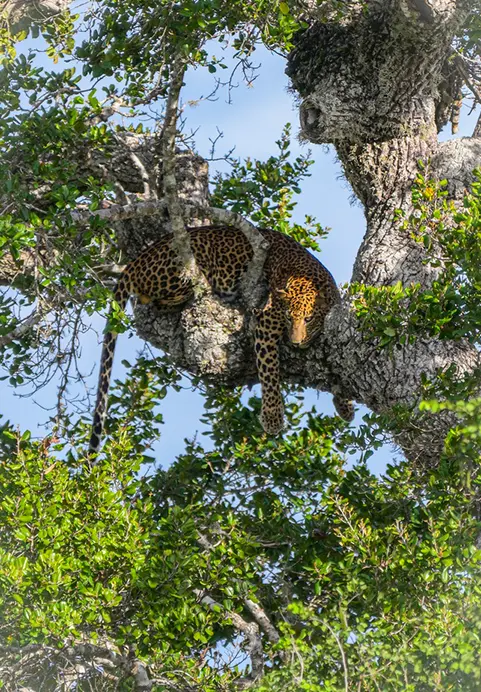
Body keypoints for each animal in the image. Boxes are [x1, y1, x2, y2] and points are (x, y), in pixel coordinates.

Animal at [89, 225, 354, 454]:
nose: (296, 342)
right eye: (290, 318)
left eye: (309, 319)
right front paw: (272, 417)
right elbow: (269, 372)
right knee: (154, 297)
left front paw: (345, 406)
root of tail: (138, 259)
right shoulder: (267, 322)